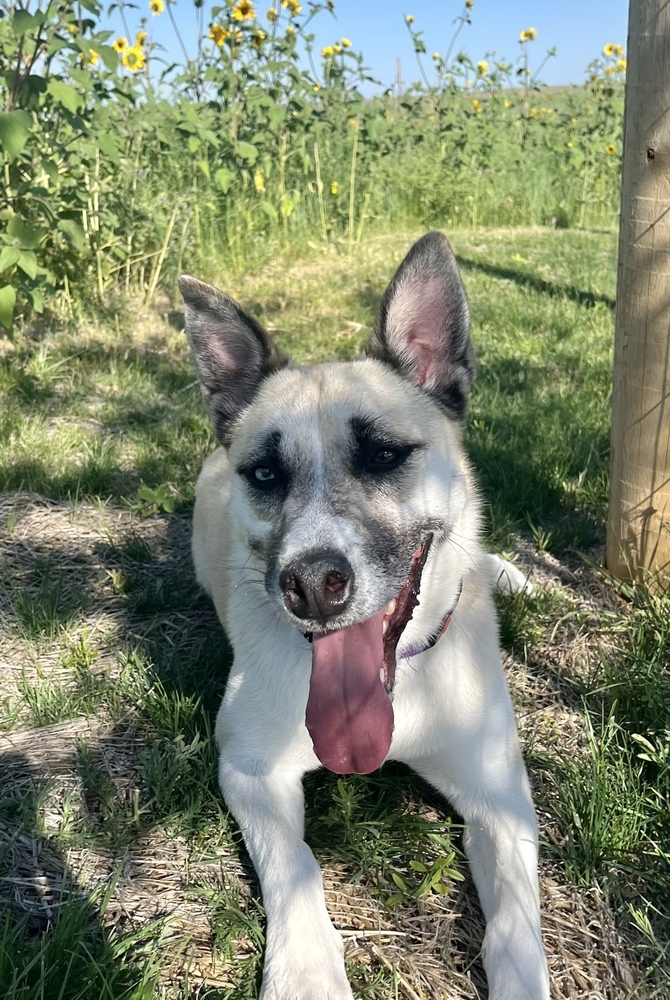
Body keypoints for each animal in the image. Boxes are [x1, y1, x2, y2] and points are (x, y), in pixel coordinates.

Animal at [180, 234, 552, 1000]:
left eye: (383, 454)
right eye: (265, 474)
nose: (311, 586)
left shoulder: (501, 796)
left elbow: (514, 925)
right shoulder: (249, 767)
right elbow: (296, 867)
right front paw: (304, 973)